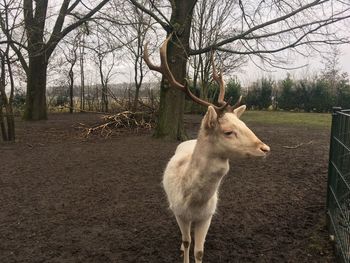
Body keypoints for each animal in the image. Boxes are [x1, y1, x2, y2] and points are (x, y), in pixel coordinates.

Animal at [144, 35, 270, 263]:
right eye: (228, 131)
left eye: (244, 124)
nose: (265, 148)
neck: (194, 202)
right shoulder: (180, 213)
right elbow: (187, 243)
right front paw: (183, 251)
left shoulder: (208, 216)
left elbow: (199, 251)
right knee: (184, 239)